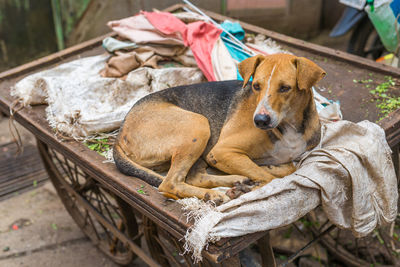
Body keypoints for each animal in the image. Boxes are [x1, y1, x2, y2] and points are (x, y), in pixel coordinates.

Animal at [112, 54, 324, 203]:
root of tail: (120, 132)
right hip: (198, 125)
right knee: (170, 184)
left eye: (285, 88)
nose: (260, 120)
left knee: (193, 178)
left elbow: (287, 168)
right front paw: (252, 188)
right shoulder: (221, 152)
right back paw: (214, 195)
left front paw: (266, 170)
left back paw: (235, 181)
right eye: (256, 86)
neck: (289, 126)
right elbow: (269, 178)